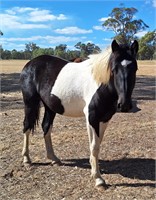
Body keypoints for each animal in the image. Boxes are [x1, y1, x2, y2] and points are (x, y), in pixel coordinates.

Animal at [20, 39, 138, 190]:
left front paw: (94, 170)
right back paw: (27, 159)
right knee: (27, 127)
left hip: (50, 107)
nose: (124, 105)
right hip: (30, 103)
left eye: (134, 68)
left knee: (46, 127)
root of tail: (30, 64)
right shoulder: (92, 118)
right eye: (114, 69)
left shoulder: (105, 119)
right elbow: (94, 146)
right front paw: (98, 179)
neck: (100, 83)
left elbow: (97, 144)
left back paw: (53, 158)